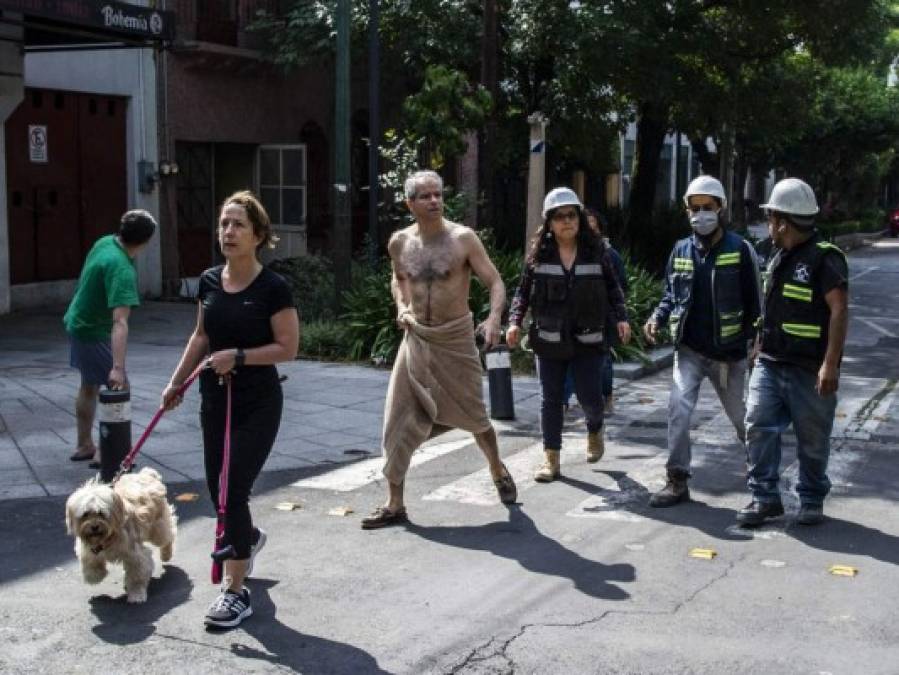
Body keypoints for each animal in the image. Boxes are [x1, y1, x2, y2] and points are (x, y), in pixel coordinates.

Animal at [65, 468, 178, 604]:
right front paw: (95, 576)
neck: (108, 536)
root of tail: (147, 474)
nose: (94, 526)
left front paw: (136, 594)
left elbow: (137, 575)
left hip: (158, 527)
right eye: (85, 514)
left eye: (101, 513)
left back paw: (166, 554)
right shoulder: (89, 550)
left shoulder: (135, 555)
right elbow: (91, 564)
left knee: (169, 534)